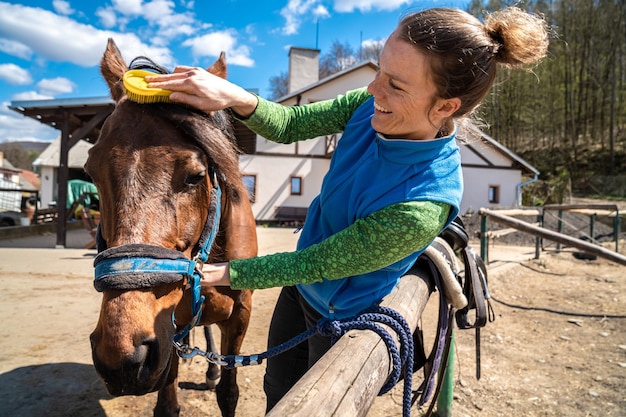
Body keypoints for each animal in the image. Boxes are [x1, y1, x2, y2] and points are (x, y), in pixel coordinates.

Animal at [86, 39, 258, 416]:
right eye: (91, 171)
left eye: (196, 174)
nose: (122, 359)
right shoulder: (167, 325)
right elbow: (167, 403)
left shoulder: (240, 316)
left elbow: (229, 393)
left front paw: (218, 379)